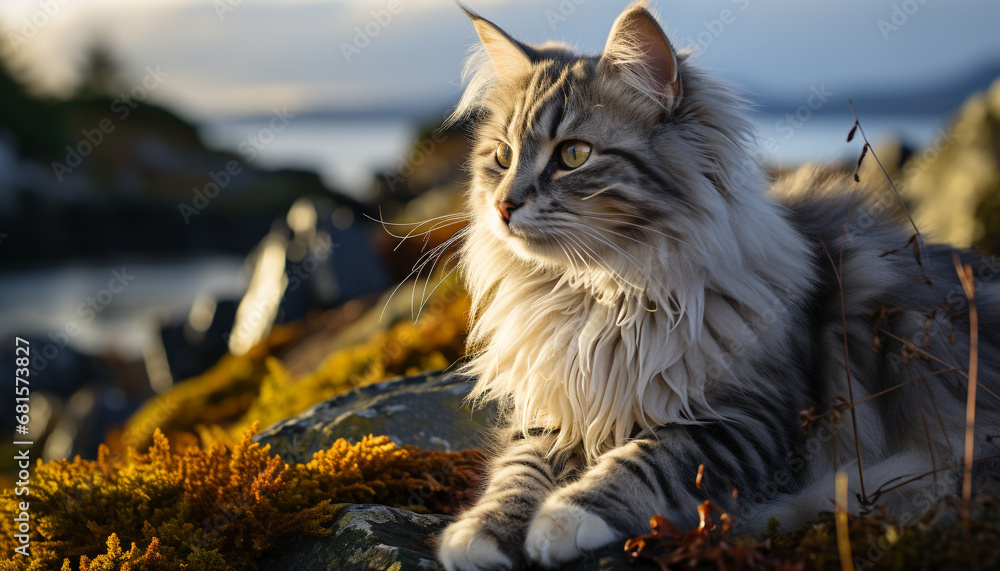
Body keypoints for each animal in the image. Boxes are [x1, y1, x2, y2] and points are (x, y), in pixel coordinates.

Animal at [436, 2, 1000, 568]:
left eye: (573, 154)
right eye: (502, 157)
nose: (503, 206)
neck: (602, 293)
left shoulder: (748, 417)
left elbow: (646, 462)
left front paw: (565, 518)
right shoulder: (553, 413)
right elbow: (517, 474)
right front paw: (478, 535)